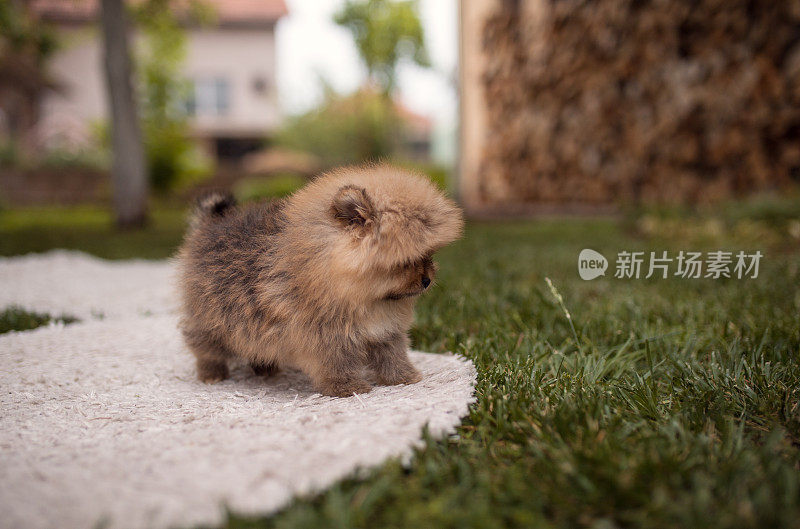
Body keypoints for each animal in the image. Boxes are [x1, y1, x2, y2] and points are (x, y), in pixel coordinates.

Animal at [175, 165, 462, 396]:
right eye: (404, 261)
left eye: (428, 254)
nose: (427, 280)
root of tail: (208, 224)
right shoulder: (326, 335)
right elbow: (337, 364)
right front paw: (348, 388)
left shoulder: (385, 330)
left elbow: (393, 356)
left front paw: (404, 377)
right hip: (212, 320)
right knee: (204, 346)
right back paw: (212, 373)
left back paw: (265, 367)